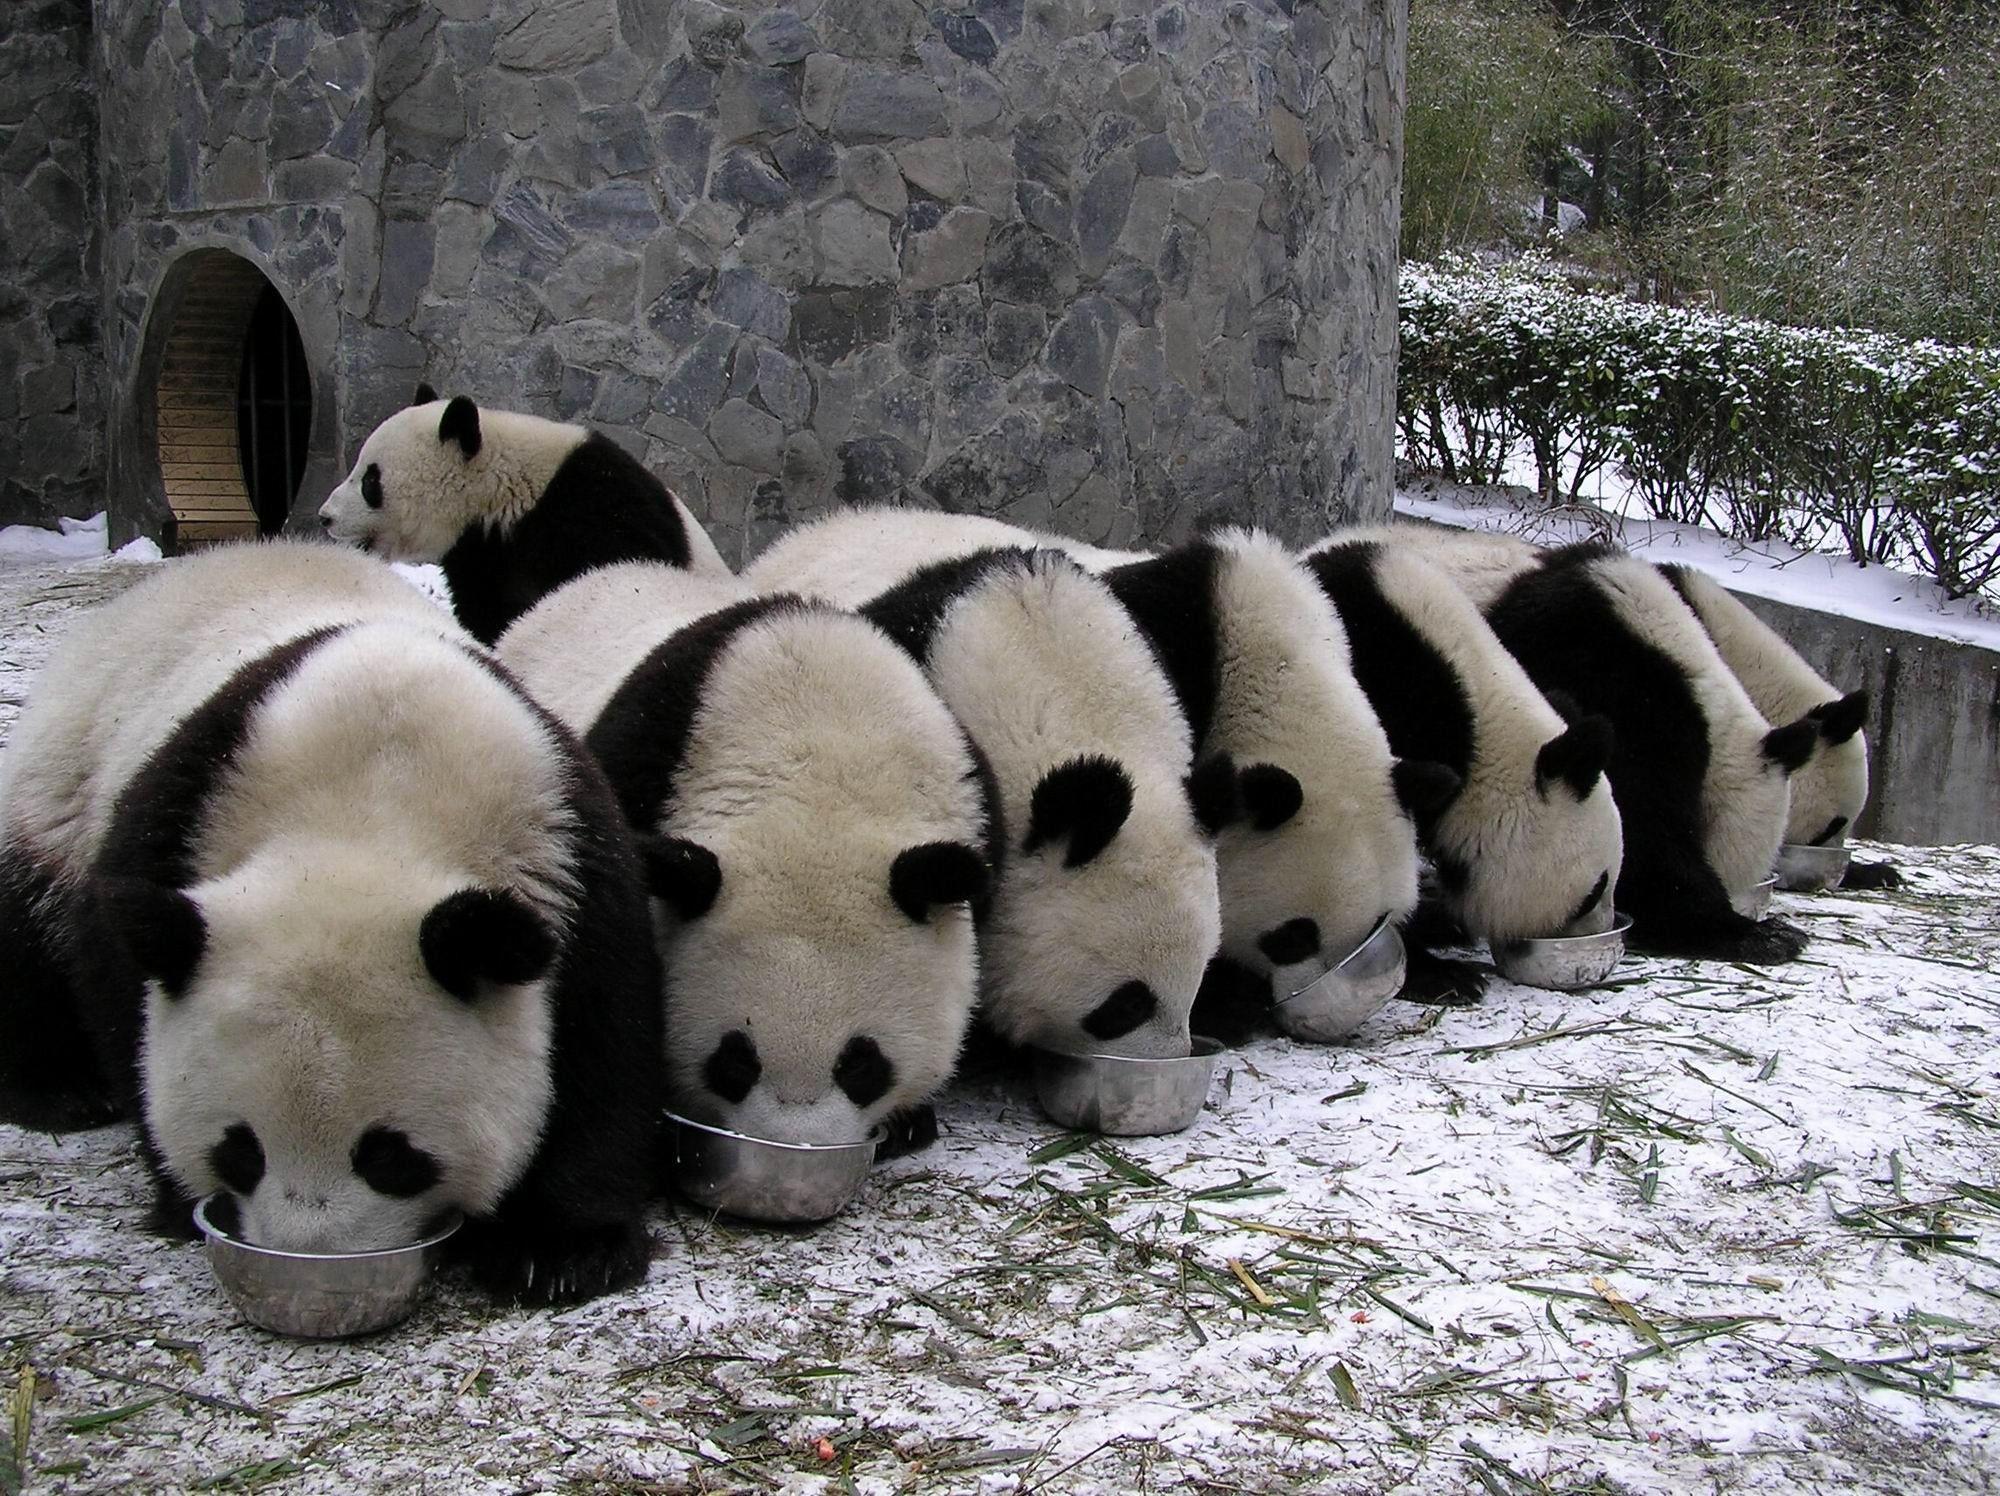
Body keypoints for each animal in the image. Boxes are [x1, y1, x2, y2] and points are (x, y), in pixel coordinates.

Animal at [0, 543, 664, 1306]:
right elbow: (120, 984)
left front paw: (556, 1251)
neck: (373, 805)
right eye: (241, 1150)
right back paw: (60, 1091)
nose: (310, 1259)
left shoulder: (563, 835)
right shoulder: (185, 812)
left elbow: (604, 1031)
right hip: (65, 777)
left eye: (391, 1157)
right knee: (29, 926)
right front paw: (174, 1194)